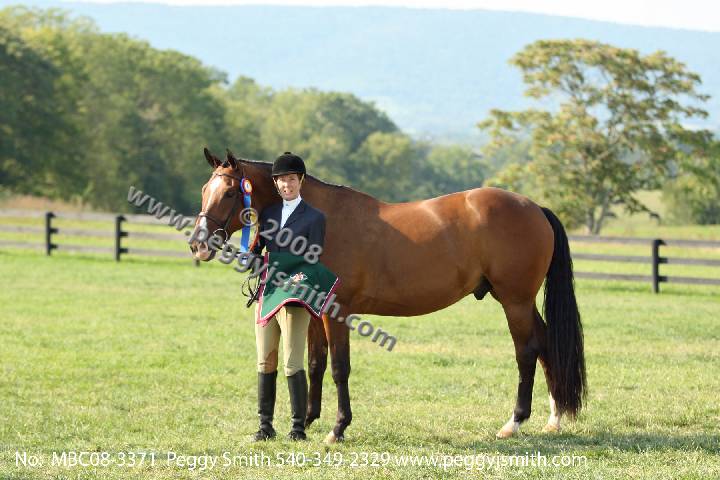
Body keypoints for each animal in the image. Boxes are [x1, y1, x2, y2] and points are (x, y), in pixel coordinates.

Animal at [190, 148, 587, 443]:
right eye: (204, 191)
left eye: (229, 192)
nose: (198, 244)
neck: (322, 219)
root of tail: (534, 208)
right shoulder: (315, 310)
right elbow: (316, 363)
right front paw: (308, 421)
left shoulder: (337, 312)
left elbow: (340, 368)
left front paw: (338, 428)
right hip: (520, 301)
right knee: (546, 343)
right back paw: (554, 419)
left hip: (515, 301)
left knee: (527, 351)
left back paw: (514, 422)